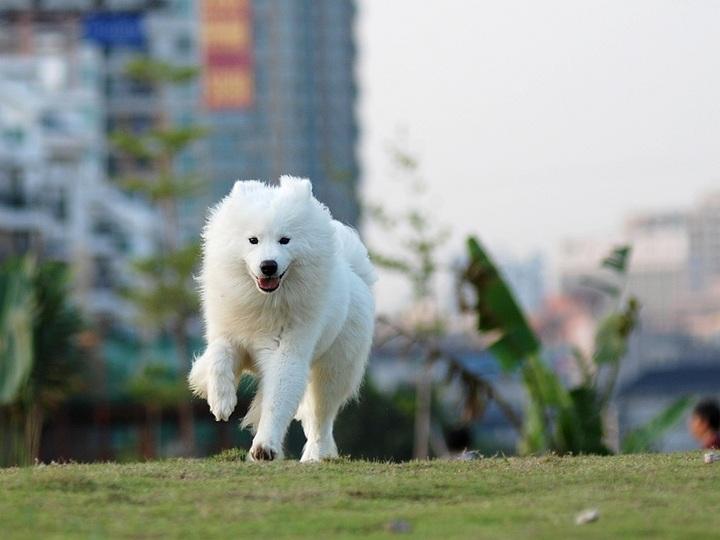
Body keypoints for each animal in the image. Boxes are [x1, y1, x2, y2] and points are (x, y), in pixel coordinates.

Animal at [186, 176, 376, 460]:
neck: (263, 302)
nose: (268, 266)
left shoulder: (286, 353)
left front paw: (265, 447)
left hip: (332, 372)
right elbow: (217, 358)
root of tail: (356, 273)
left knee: (321, 419)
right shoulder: (228, 334)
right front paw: (220, 400)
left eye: (285, 240)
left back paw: (314, 455)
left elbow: (277, 401)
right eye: (253, 240)